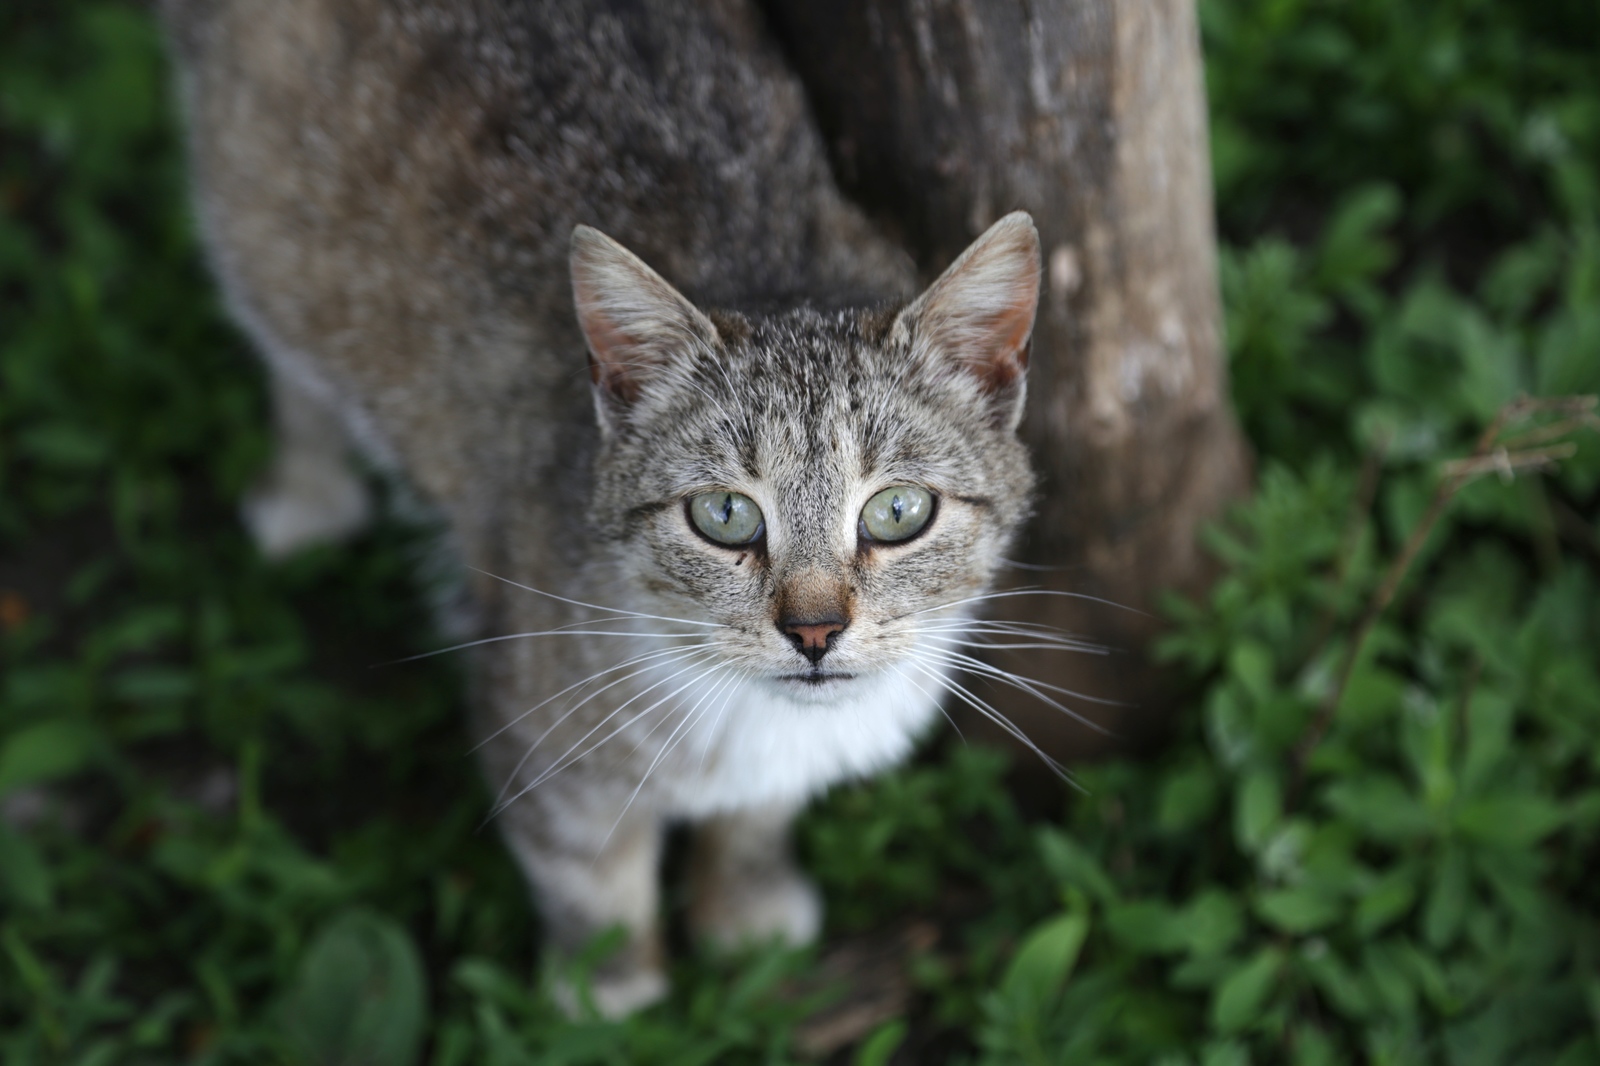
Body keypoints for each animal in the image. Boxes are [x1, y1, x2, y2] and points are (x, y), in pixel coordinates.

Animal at [159, 0, 1036, 1011]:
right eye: (724, 517)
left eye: (897, 512)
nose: (814, 632)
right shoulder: (544, 732)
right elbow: (591, 872)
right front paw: (607, 990)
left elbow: (754, 818)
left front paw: (748, 908)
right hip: (256, 215)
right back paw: (308, 492)